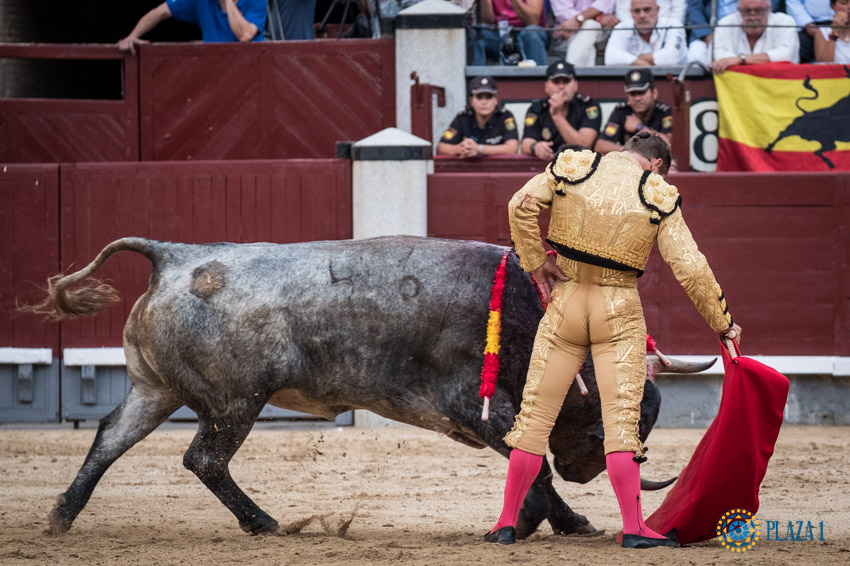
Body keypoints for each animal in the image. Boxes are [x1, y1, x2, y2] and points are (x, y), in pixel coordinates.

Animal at [29, 235, 708, 540]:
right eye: (604, 429)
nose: (588, 473)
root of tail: (173, 256)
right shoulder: (480, 409)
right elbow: (531, 463)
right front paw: (535, 521)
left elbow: (530, 463)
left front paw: (564, 521)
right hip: (234, 403)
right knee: (205, 458)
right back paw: (265, 523)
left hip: (156, 390)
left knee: (109, 438)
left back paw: (61, 516)